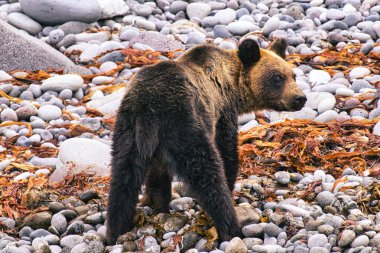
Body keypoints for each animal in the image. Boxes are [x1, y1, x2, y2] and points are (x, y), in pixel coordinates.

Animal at [105, 38, 308, 245]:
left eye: (293, 75)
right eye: (277, 77)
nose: (300, 98)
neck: (230, 82)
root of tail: (149, 111)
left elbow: (157, 174)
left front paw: (157, 203)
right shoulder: (222, 112)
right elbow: (226, 151)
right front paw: (230, 183)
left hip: (127, 132)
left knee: (122, 180)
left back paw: (115, 231)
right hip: (184, 125)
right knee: (207, 174)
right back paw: (230, 229)